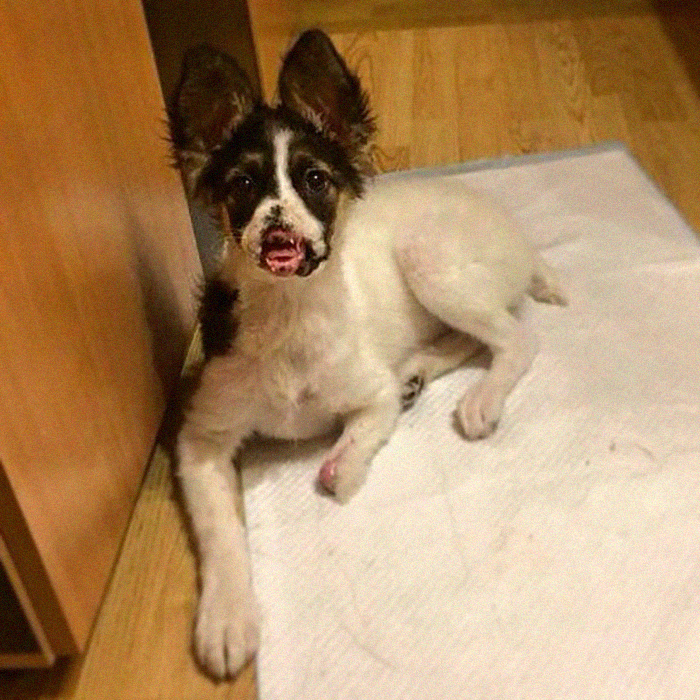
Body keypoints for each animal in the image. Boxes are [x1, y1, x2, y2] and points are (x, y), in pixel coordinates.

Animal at [170, 29, 565, 679]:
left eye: (315, 180)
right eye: (244, 186)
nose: (278, 230)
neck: (291, 317)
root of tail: (517, 236)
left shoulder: (369, 398)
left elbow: (355, 448)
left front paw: (341, 468)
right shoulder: (202, 437)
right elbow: (221, 530)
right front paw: (227, 619)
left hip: (429, 259)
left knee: (516, 338)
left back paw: (480, 400)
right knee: (473, 337)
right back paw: (417, 372)